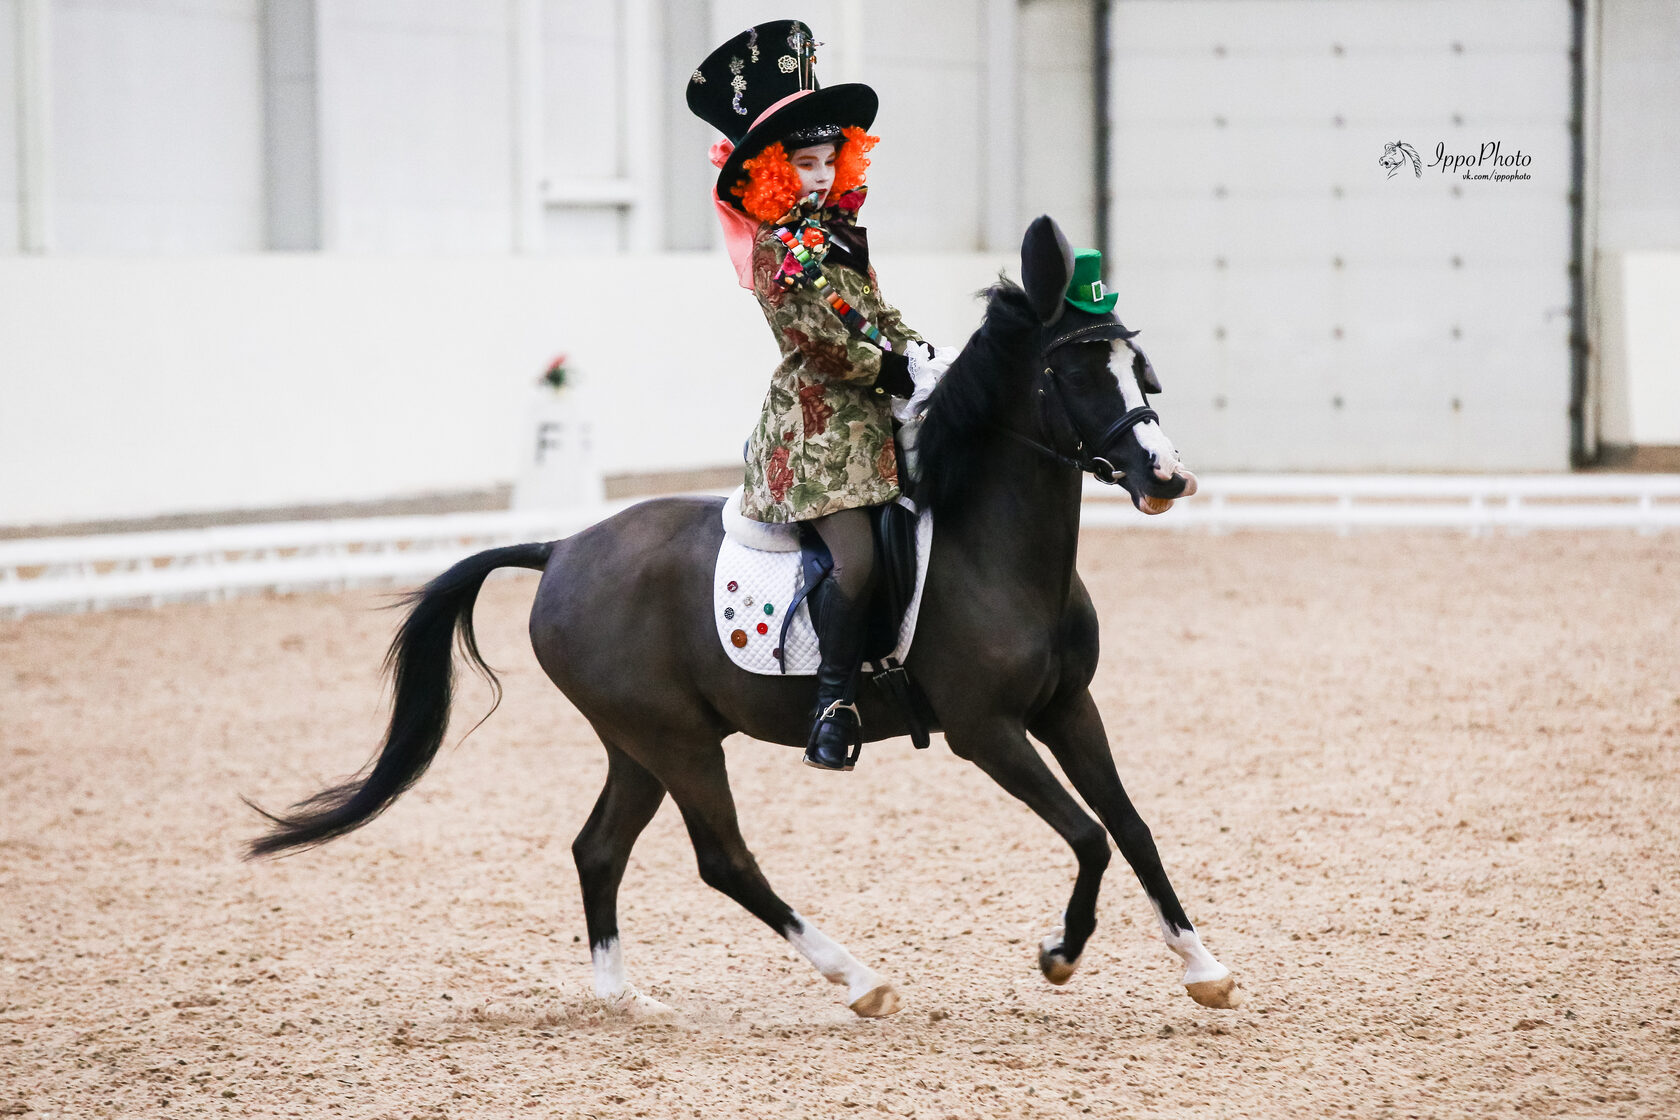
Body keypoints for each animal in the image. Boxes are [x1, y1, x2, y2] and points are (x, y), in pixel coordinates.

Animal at [248, 214, 1249, 1020]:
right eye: (1073, 371)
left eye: (1137, 368)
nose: (1167, 478)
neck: (996, 550)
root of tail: (560, 550)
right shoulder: (987, 730)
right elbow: (1088, 835)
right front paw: (1059, 955)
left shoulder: (1067, 706)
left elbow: (1132, 827)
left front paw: (1203, 968)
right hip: (677, 740)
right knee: (723, 859)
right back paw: (859, 981)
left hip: (640, 743)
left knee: (598, 848)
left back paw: (626, 999)